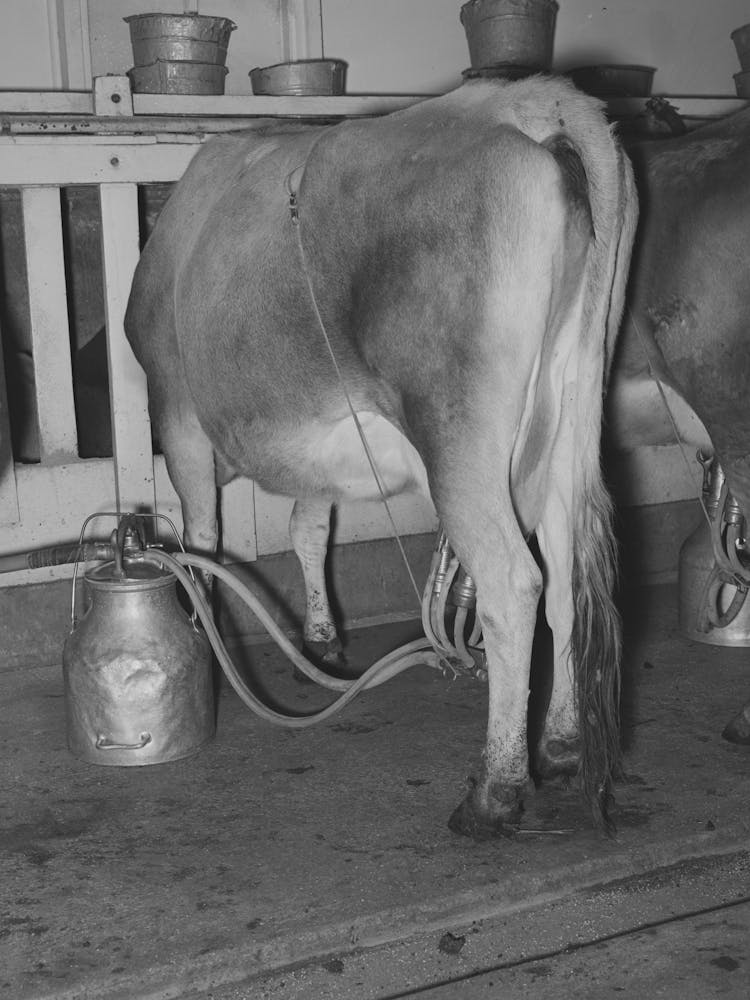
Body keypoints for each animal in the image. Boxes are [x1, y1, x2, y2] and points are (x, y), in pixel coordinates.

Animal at [124, 76, 637, 837]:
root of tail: (527, 100)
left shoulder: (176, 407)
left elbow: (203, 542)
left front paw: (207, 649)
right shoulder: (321, 439)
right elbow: (309, 526)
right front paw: (319, 636)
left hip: (459, 436)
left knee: (514, 584)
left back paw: (494, 791)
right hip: (572, 413)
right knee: (567, 579)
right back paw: (563, 745)